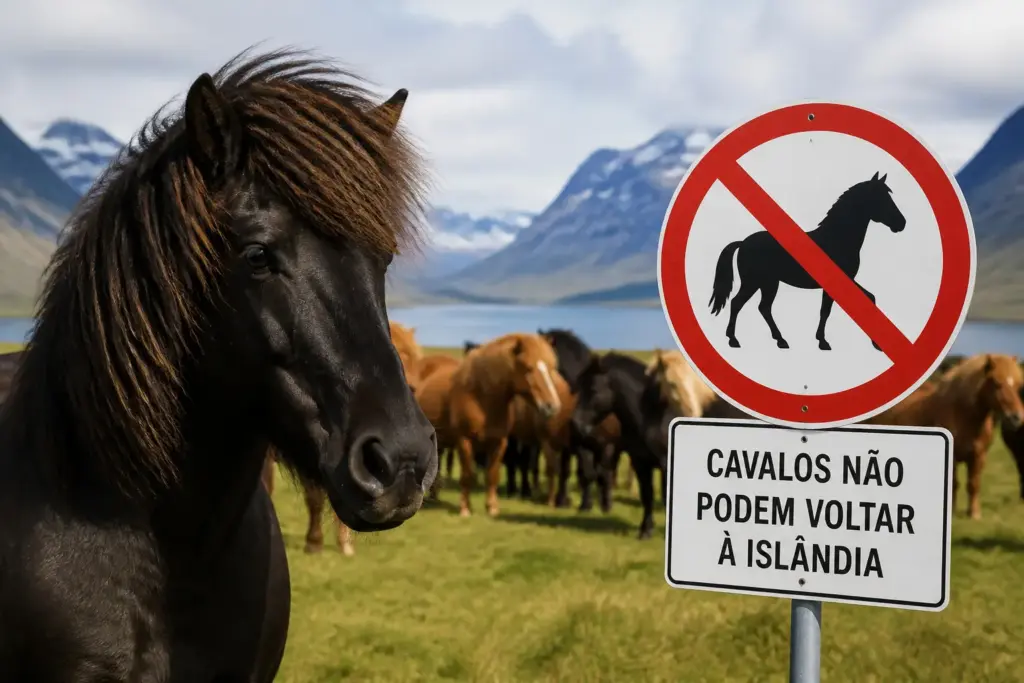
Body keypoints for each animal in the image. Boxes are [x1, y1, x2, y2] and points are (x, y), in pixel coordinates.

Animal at [572, 352, 681, 539]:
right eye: (579, 388)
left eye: (593, 389)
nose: (576, 424)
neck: (654, 417)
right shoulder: (640, 463)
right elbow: (647, 495)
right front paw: (645, 530)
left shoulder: (666, 465)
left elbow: (667, 498)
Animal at [709, 172, 906, 351]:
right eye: (882, 198)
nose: (902, 223)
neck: (837, 237)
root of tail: (743, 242)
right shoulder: (839, 282)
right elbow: (826, 311)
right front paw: (823, 342)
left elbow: (867, 298)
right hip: (754, 282)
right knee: (738, 303)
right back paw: (734, 340)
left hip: (769, 283)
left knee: (763, 307)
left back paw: (780, 340)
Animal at [866, 353, 1024, 520]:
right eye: (997, 383)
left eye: (1018, 385)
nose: (1016, 418)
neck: (963, 414)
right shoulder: (952, 456)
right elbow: (954, 484)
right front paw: (952, 513)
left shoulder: (978, 456)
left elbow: (973, 484)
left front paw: (974, 514)